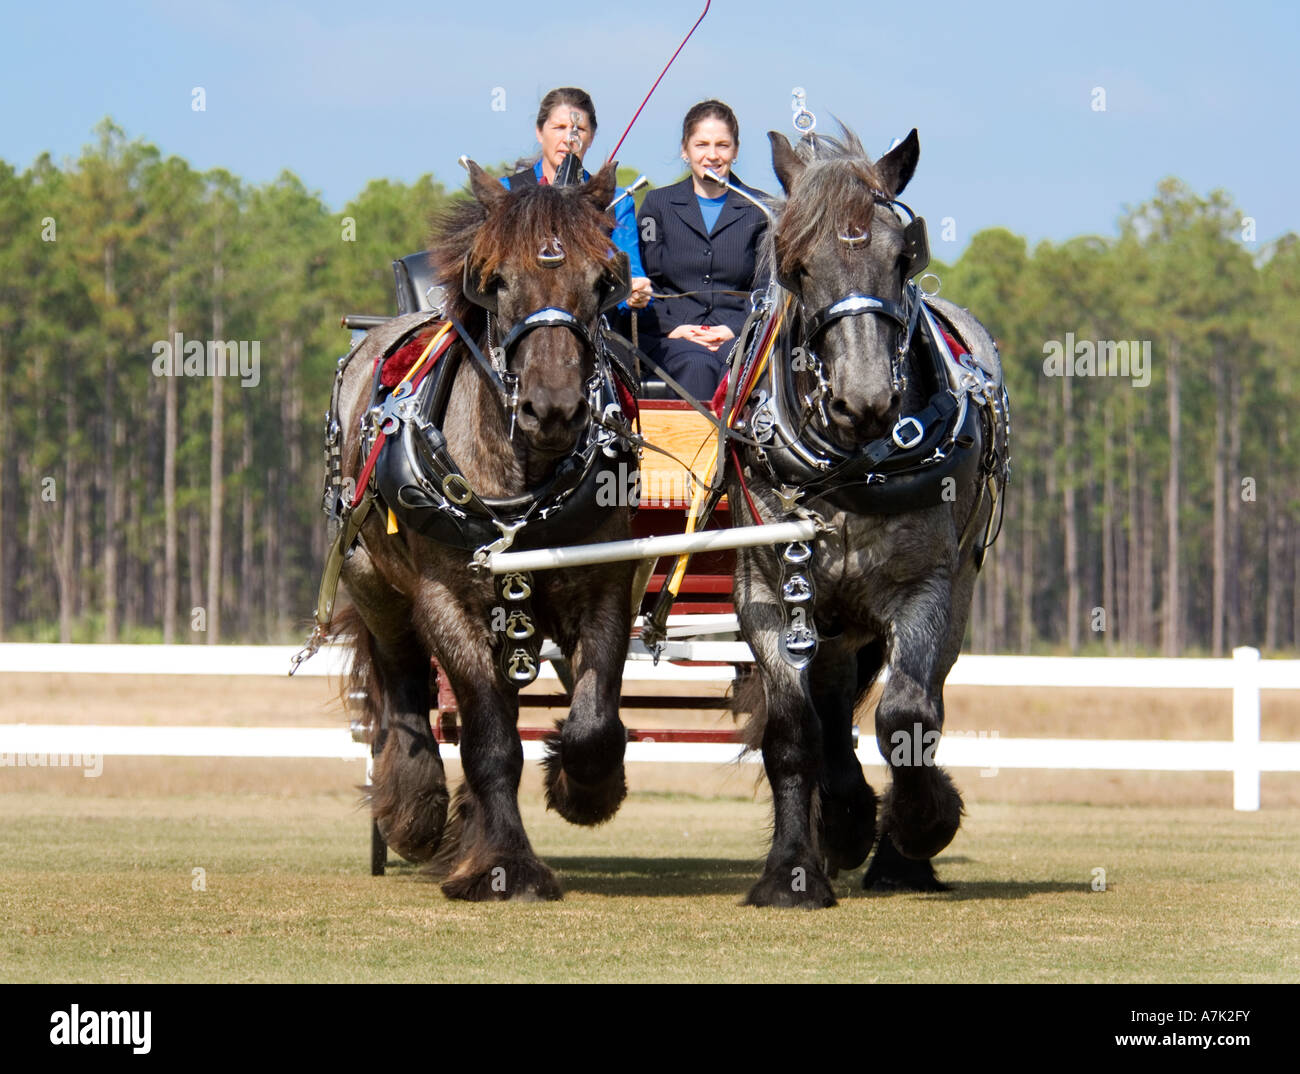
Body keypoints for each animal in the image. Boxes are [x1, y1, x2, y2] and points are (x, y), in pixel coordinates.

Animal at [330, 159, 638, 900]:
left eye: (604, 279)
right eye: (494, 282)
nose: (552, 408)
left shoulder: (606, 583)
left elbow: (593, 720)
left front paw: (584, 787)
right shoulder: (447, 599)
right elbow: (489, 737)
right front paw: (504, 866)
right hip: (372, 580)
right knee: (404, 684)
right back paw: (414, 808)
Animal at [726, 126, 1009, 907]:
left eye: (902, 255)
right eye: (796, 264)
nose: (865, 401)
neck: (852, 468)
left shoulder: (927, 586)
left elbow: (907, 717)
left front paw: (920, 826)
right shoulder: (767, 592)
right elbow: (794, 728)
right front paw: (795, 867)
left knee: (917, 696)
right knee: (826, 709)